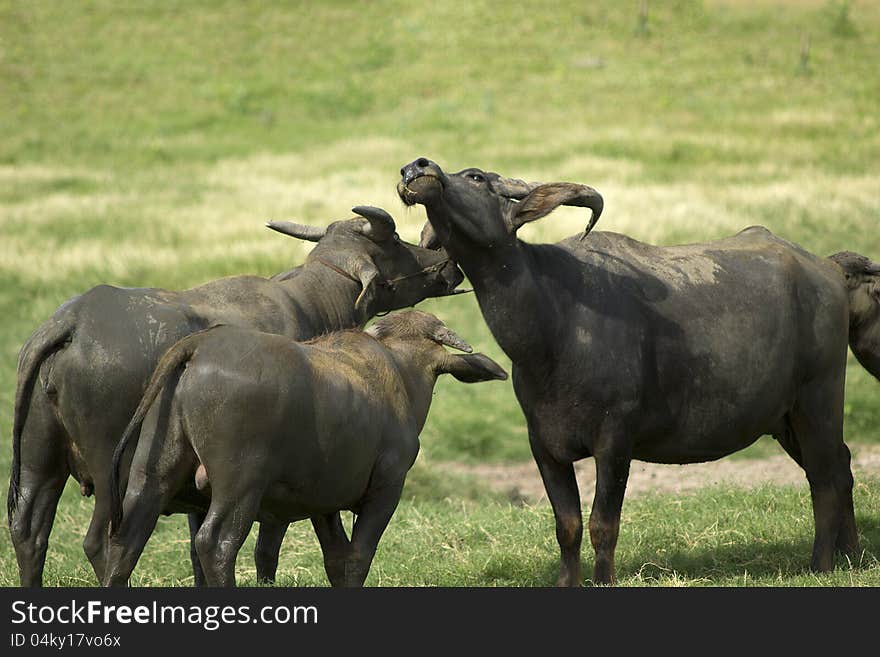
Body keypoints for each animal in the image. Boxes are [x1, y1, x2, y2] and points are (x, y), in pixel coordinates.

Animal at [8, 208, 468, 588]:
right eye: (395, 241)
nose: (446, 263)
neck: (306, 303)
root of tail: (73, 322)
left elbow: (196, 552)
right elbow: (265, 548)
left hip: (41, 459)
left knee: (28, 529)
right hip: (112, 473)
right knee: (101, 541)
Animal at [400, 158, 872, 584]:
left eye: (476, 177)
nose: (417, 168)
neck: (554, 322)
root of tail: (828, 270)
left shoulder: (615, 440)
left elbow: (602, 526)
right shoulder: (544, 445)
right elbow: (567, 526)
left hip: (818, 399)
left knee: (826, 477)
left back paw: (821, 563)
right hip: (784, 417)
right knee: (839, 465)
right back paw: (852, 554)